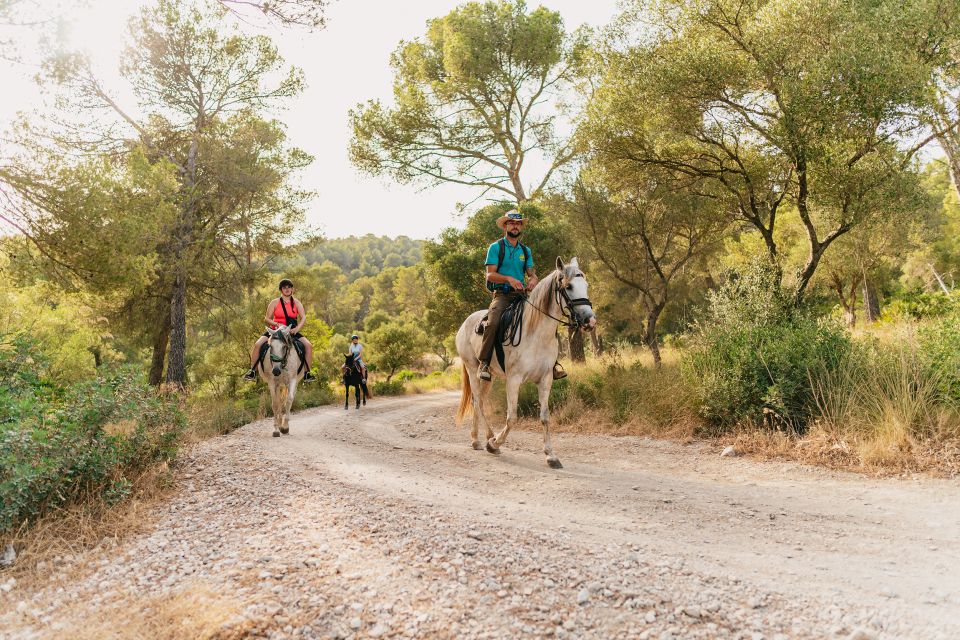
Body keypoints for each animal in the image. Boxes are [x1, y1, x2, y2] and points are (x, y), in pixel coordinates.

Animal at [454, 256, 596, 470]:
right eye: (569, 286)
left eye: (586, 285)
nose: (590, 321)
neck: (536, 332)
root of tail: (465, 323)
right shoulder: (514, 380)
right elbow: (512, 417)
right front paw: (494, 444)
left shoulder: (546, 379)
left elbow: (545, 417)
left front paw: (551, 456)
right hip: (472, 369)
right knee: (477, 401)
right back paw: (485, 439)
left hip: (488, 377)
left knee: (480, 402)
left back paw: (480, 438)